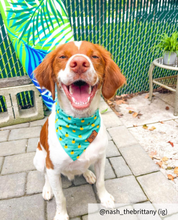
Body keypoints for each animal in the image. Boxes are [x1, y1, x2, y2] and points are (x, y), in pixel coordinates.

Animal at [33, 40, 125, 219]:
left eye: (94, 56)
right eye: (62, 56)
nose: (80, 64)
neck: (79, 125)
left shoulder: (101, 158)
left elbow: (101, 182)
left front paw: (104, 198)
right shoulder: (52, 167)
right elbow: (60, 197)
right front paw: (61, 214)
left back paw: (88, 174)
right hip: (39, 159)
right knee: (45, 176)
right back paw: (47, 189)